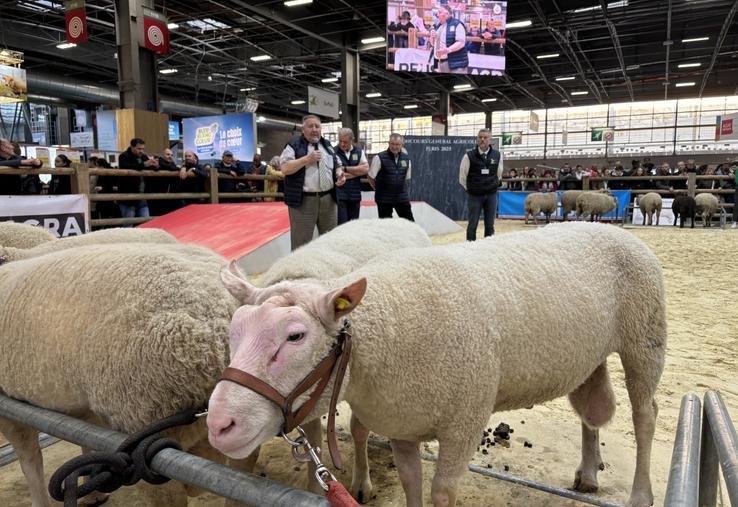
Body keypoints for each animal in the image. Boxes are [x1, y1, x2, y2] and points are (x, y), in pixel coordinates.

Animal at [0, 243, 247, 507]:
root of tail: (220, 319)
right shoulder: (82, 407)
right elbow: (84, 438)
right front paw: (93, 491)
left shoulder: (10, 411)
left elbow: (29, 459)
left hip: (143, 426)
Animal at [208, 224, 668, 507]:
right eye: (234, 329)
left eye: (295, 336)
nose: (219, 425)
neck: (387, 328)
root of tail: (614, 228)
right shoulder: (401, 421)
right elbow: (412, 483)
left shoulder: (465, 420)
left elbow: (442, 493)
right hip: (587, 355)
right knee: (590, 412)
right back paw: (588, 473)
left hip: (645, 335)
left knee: (645, 417)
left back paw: (640, 494)